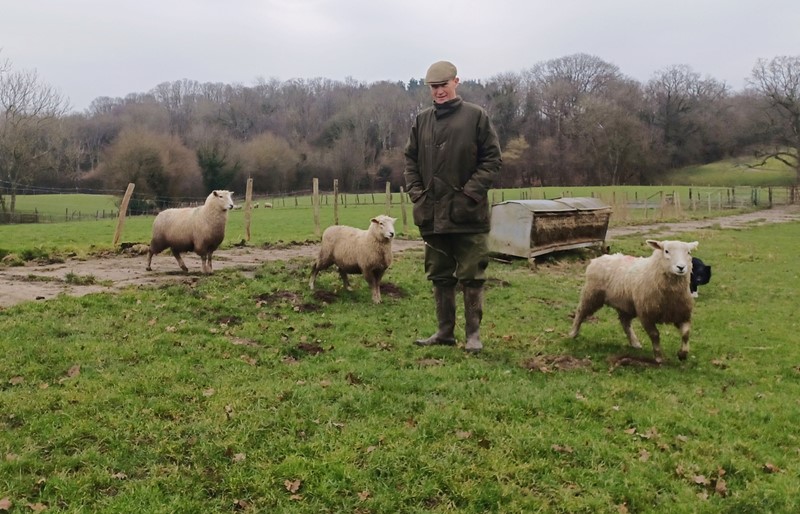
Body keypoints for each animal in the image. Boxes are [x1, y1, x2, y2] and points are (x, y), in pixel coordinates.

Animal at [568, 239, 700, 362]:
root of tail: (599, 258)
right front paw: (658, 357)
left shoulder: (682, 314)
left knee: (625, 322)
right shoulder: (646, 315)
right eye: (666, 251)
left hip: (626, 305)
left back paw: (634, 342)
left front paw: (682, 354)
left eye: (689, 252)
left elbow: (686, 333)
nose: (681, 267)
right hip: (591, 295)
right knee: (580, 312)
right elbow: (655, 335)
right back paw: (573, 333)